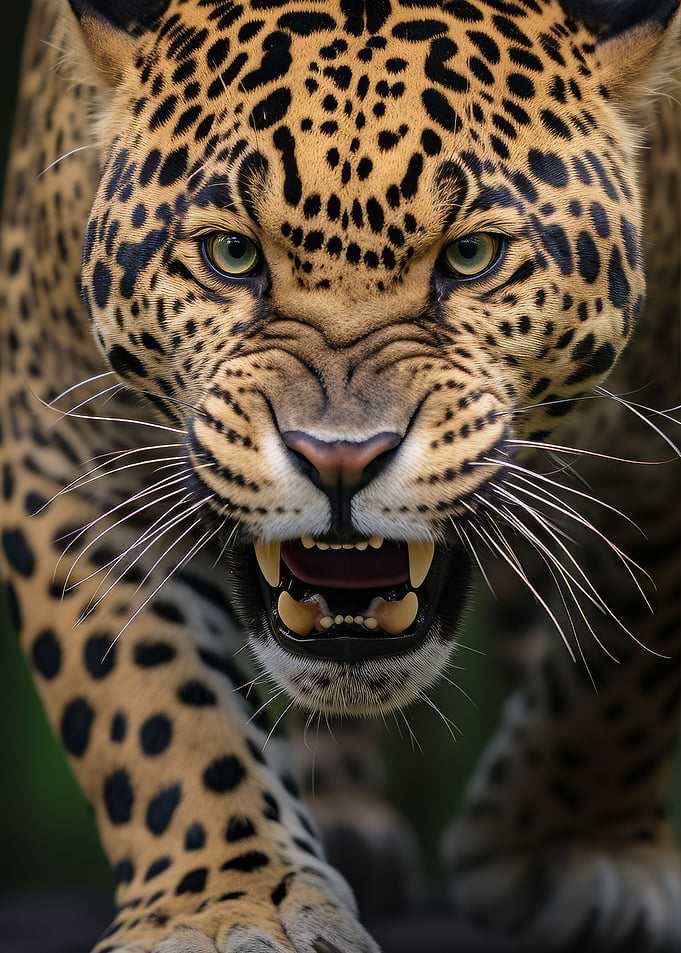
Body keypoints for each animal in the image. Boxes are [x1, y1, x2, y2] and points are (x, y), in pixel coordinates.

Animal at [1, 0, 680, 951]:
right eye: (231, 256)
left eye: (471, 256)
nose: (339, 458)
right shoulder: (59, 449)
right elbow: (149, 701)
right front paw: (226, 904)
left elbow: (625, 654)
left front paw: (566, 844)